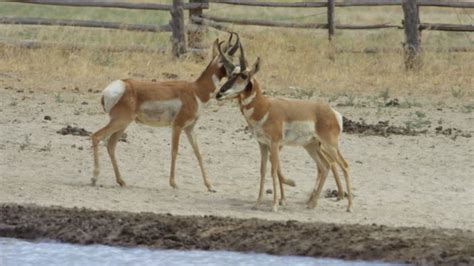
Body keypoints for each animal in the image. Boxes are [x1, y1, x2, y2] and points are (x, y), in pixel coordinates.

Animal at [90, 33, 241, 191]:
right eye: (225, 60)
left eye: (233, 59)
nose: (237, 71)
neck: (195, 90)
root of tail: (117, 86)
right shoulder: (177, 126)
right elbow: (174, 151)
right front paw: (173, 183)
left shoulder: (189, 128)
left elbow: (198, 153)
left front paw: (210, 186)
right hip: (120, 121)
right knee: (96, 136)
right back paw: (94, 178)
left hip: (123, 124)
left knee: (111, 145)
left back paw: (121, 181)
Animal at [215, 44, 352, 213]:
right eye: (230, 74)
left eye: (244, 75)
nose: (220, 93)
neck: (265, 107)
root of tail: (332, 112)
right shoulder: (263, 144)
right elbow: (263, 170)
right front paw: (257, 204)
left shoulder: (274, 144)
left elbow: (274, 170)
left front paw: (274, 205)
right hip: (311, 146)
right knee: (325, 166)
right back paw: (311, 204)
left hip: (329, 145)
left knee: (343, 165)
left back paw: (349, 207)